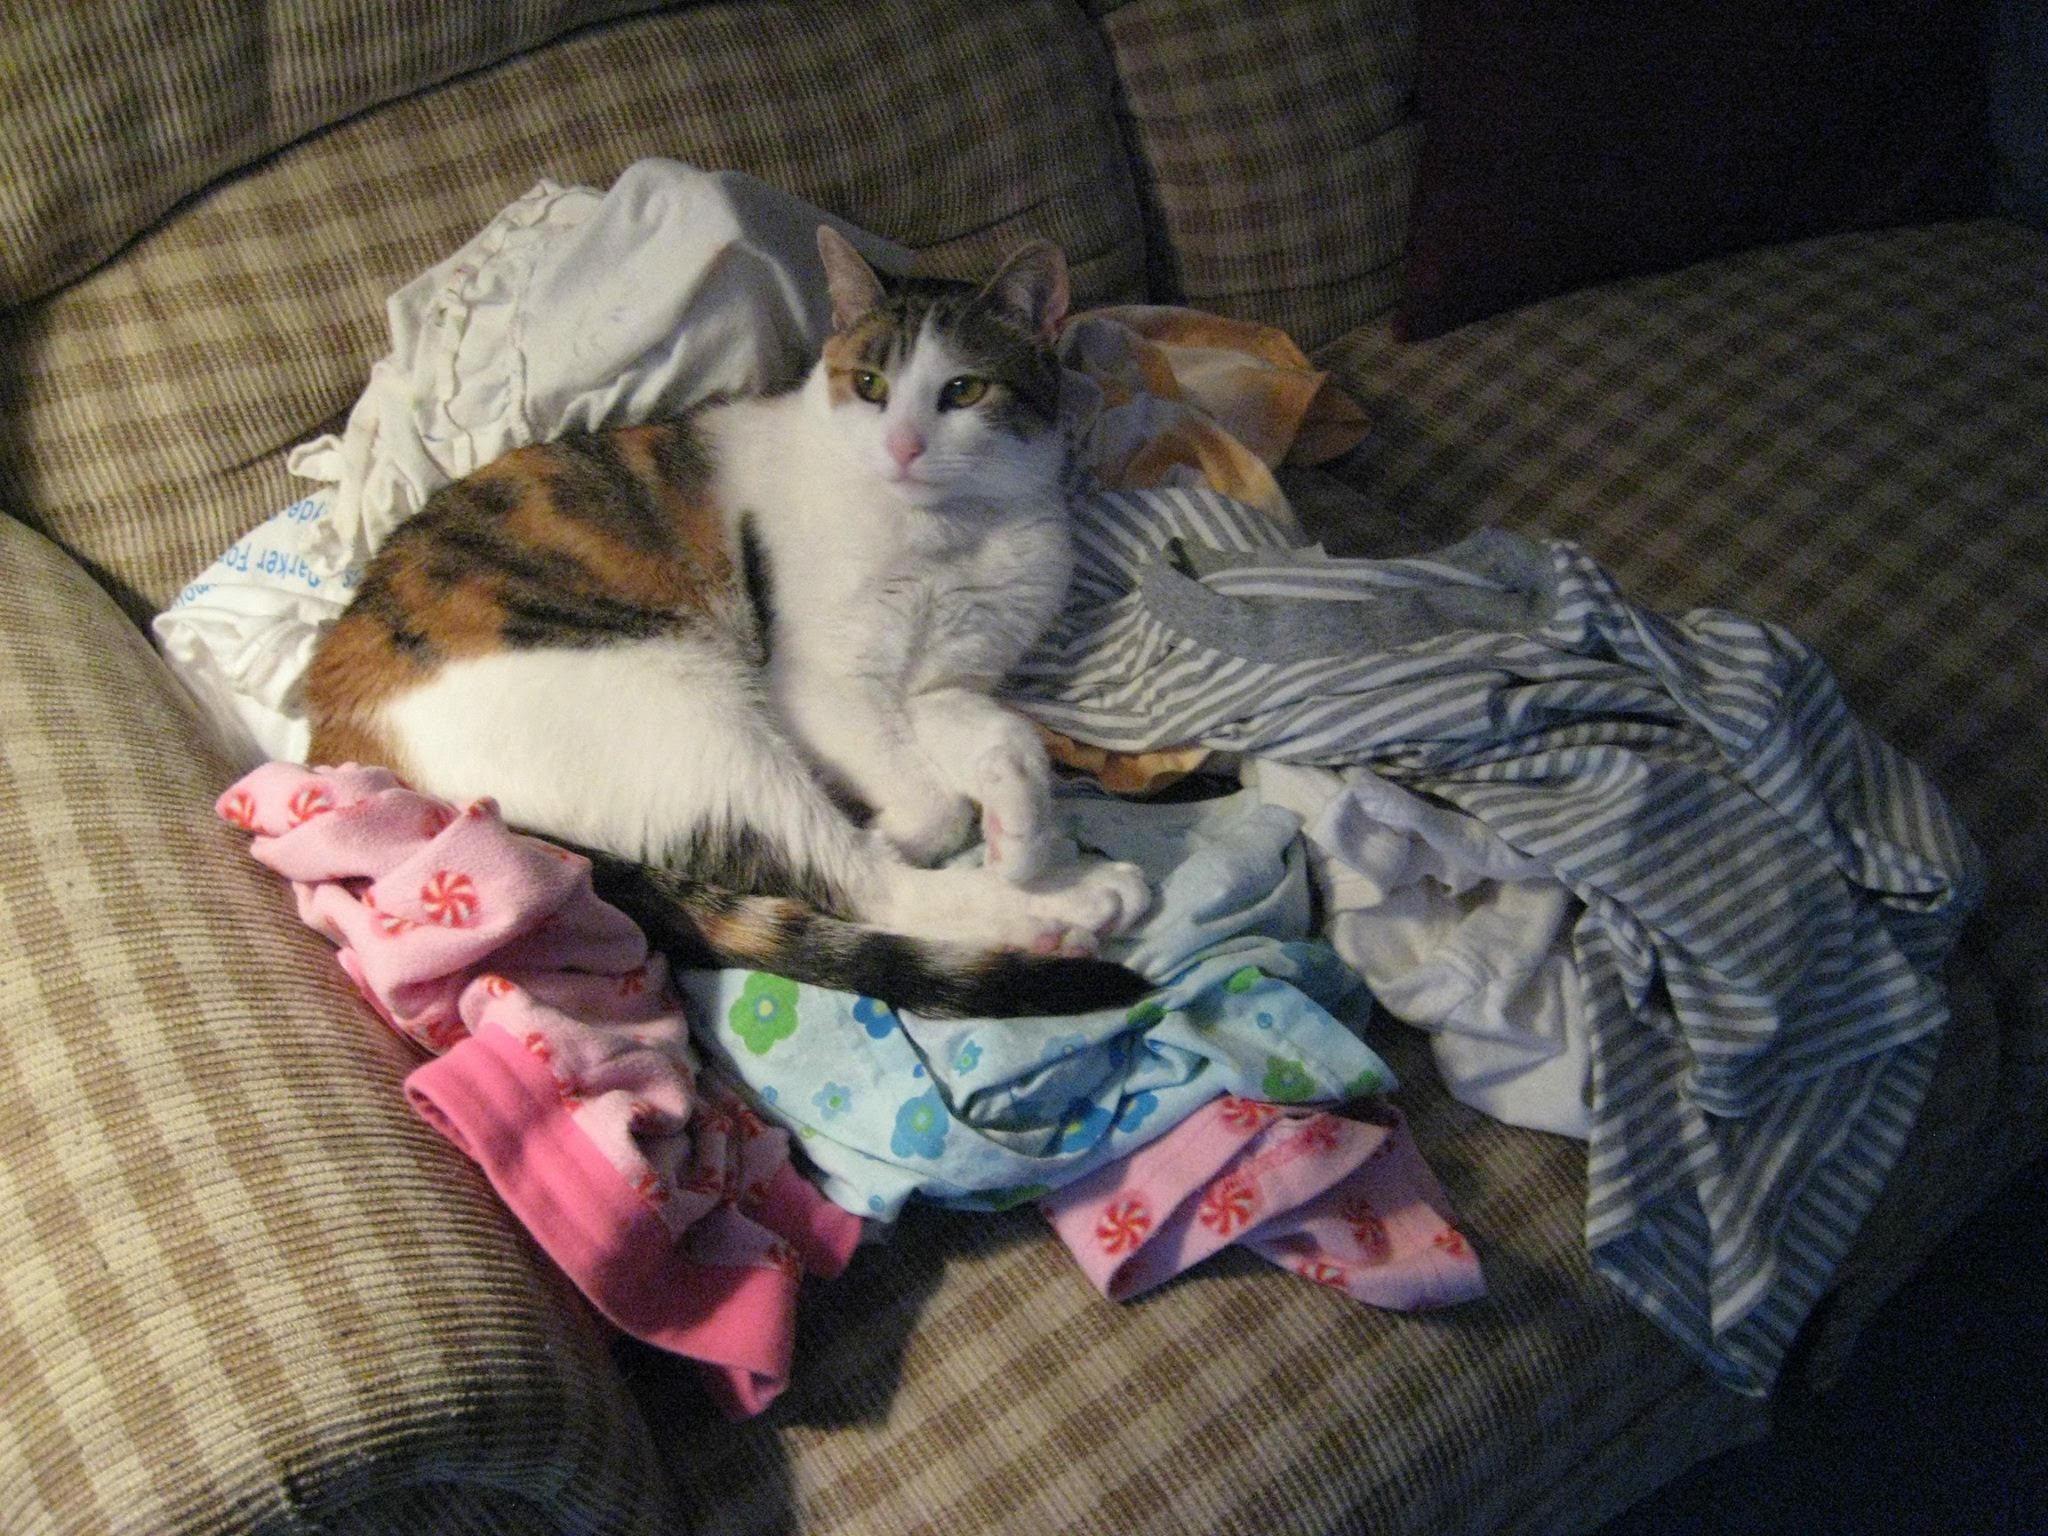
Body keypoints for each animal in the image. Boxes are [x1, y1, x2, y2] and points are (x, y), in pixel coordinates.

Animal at [299, 225, 1155, 1024]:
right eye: (870, 385)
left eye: (965, 390)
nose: (904, 446)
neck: (955, 533)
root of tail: (337, 743)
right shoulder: (820, 686)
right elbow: (931, 807)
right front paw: (970, 846)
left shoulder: (942, 684)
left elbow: (1006, 742)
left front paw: (1021, 836)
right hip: (686, 703)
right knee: (857, 881)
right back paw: (1068, 903)